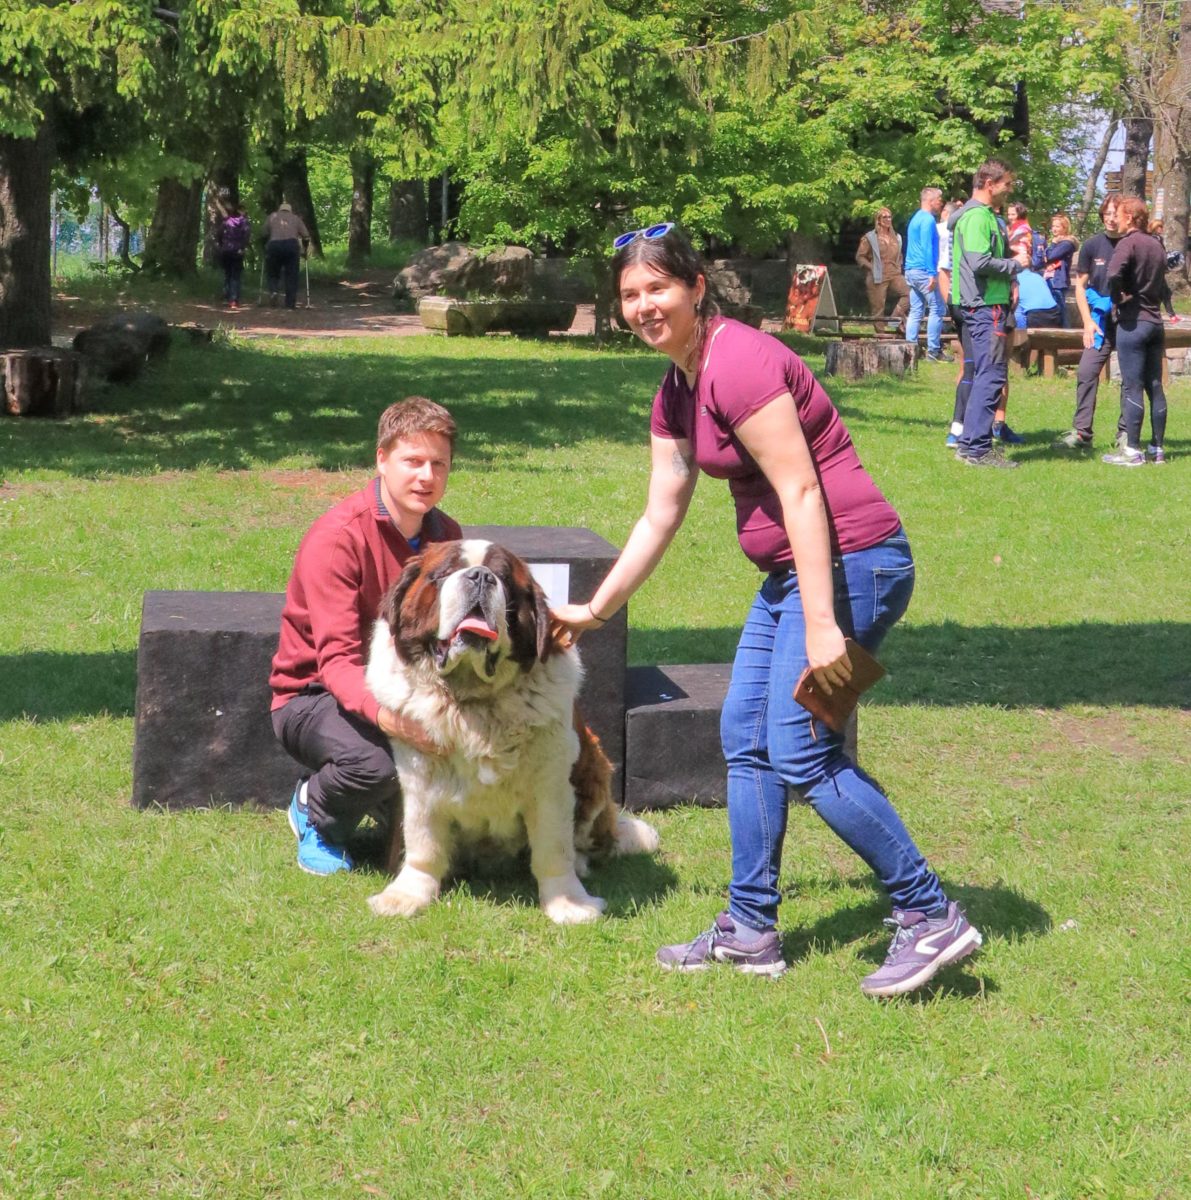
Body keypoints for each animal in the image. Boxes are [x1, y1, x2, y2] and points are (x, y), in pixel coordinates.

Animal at [364, 538, 659, 924]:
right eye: (444, 573)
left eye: (503, 578)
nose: (479, 576)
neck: (472, 702)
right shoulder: (419, 777)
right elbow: (423, 843)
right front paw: (407, 894)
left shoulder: (551, 785)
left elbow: (553, 849)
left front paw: (568, 903)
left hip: (595, 772)